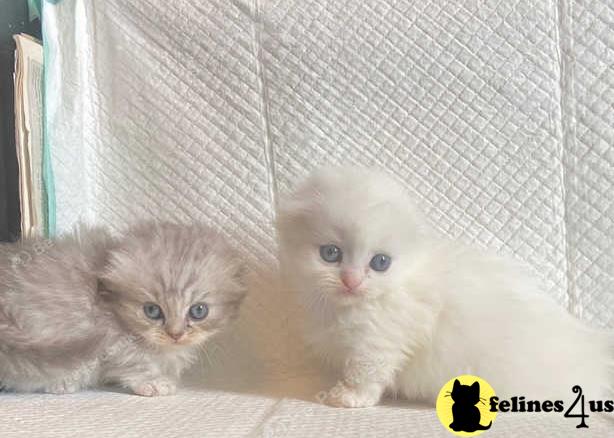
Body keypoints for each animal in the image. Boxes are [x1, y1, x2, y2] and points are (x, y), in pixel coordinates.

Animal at [0, 221, 245, 396]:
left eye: (198, 311)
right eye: (152, 311)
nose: (175, 335)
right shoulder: (111, 340)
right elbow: (133, 363)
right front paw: (152, 382)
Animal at [280, 167, 614, 408]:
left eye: (380, 262)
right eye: (330, 253)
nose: (352, 281)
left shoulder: (378, 342)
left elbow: (365, 374)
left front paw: (346, 398)